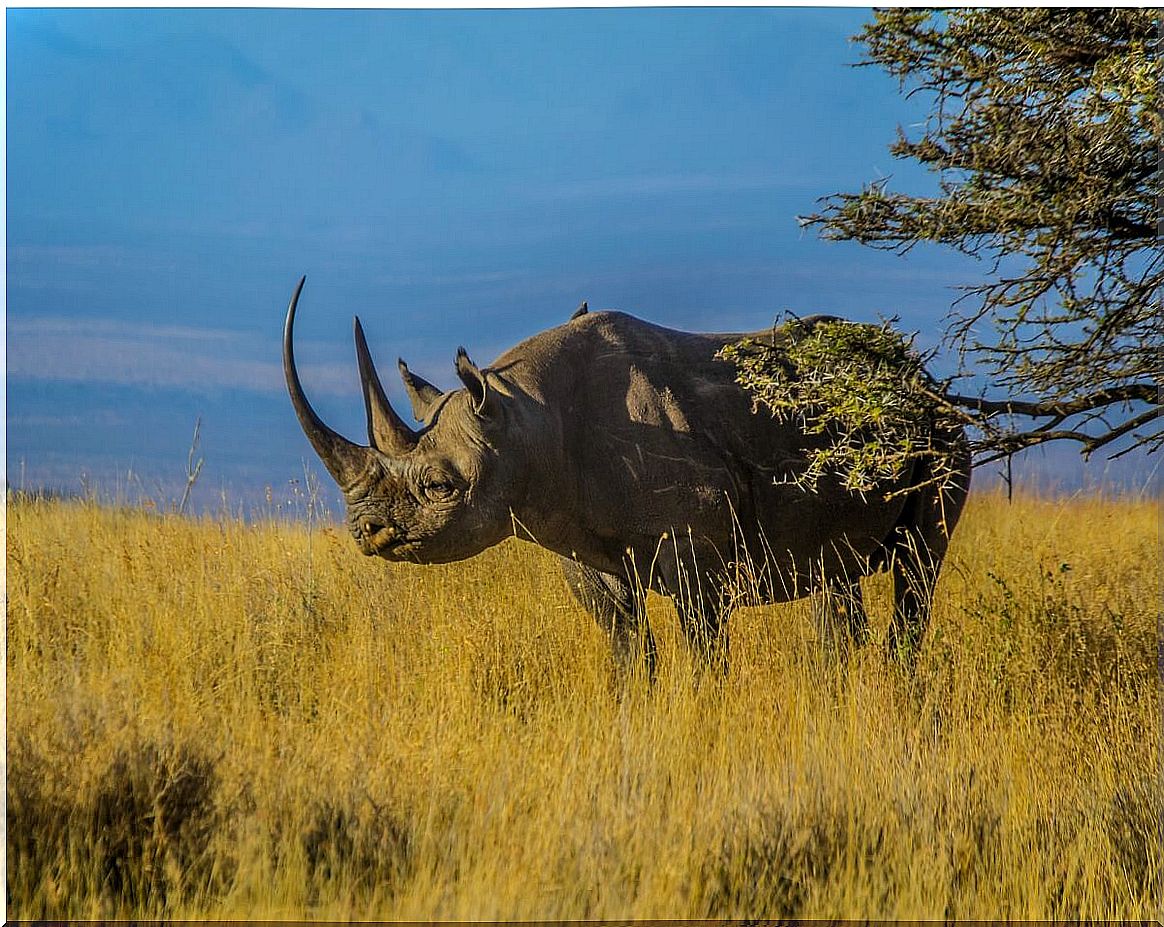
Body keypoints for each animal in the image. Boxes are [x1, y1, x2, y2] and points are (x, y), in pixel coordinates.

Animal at [284, 274, 973, 675]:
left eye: (439, 487)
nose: (368, 532)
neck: (526, 422)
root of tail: (922, 377)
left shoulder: (695, 552)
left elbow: (703, 647)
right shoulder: (582, 549)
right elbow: (625, 647)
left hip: (943, 434)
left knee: (917, 566)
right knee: (838, 572)